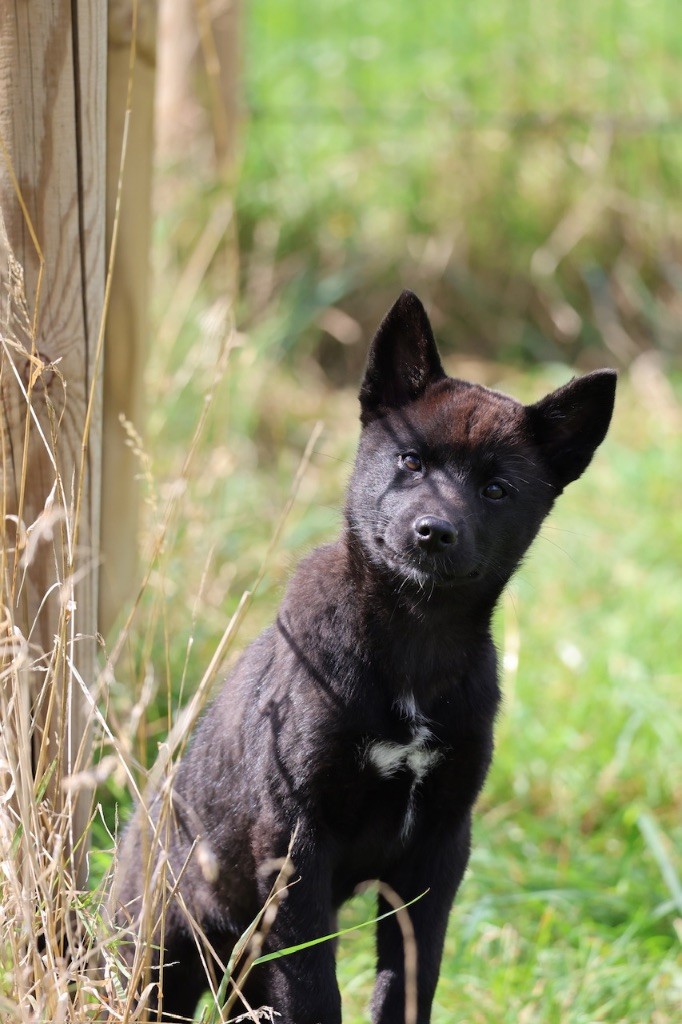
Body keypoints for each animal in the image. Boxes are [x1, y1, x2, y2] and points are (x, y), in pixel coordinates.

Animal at [112, 292, 614, 1019]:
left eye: (496, 489)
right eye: (410, 461)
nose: (433, 532)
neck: (413, 640)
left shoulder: (438, 848)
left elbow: (408, 979)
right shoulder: (293, 843)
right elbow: (314, 985)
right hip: (156, 951)